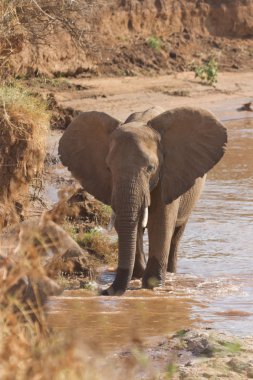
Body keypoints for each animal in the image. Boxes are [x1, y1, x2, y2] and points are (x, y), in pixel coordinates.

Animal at [58, 105, 227, 296]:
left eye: (150, 168)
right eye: (108, 168)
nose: (105, 292)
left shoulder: (168, 174)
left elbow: (161, 223)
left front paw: (152, 285)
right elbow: (127, 223)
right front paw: (137, 277)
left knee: (176, 234)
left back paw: (171, 273)